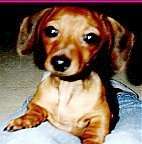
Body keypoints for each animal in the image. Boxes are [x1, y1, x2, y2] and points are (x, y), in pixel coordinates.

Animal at [4, 6, 134, 144]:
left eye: (91, 37)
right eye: (51, 31)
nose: (59, 62)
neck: (68, 87)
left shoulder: (100, 116)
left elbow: (94, 132)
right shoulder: (37, 103)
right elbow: (35, 110)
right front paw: (23, 120)